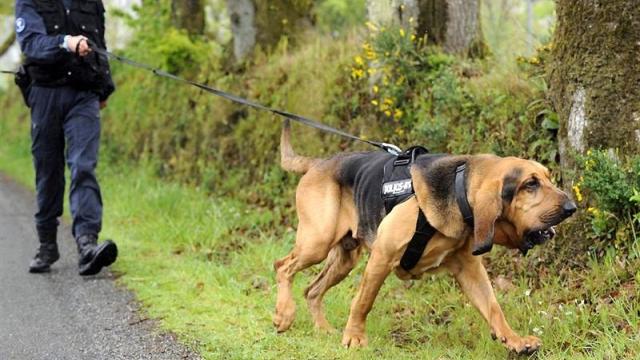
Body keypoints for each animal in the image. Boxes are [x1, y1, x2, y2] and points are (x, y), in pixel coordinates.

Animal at [272, 119, 576, 352]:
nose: (572, 207)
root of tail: (318, 163)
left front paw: (514, 340)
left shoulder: (469, 268)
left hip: (344, 259)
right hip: (318, 242)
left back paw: (322, 329)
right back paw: (284, 314)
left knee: (311, 290)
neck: (458, 189)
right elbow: (363, 302)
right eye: (530, 184)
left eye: (548, 178)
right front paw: (355, 337)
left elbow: (493, 307)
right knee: (282, 266)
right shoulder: (382, 256)